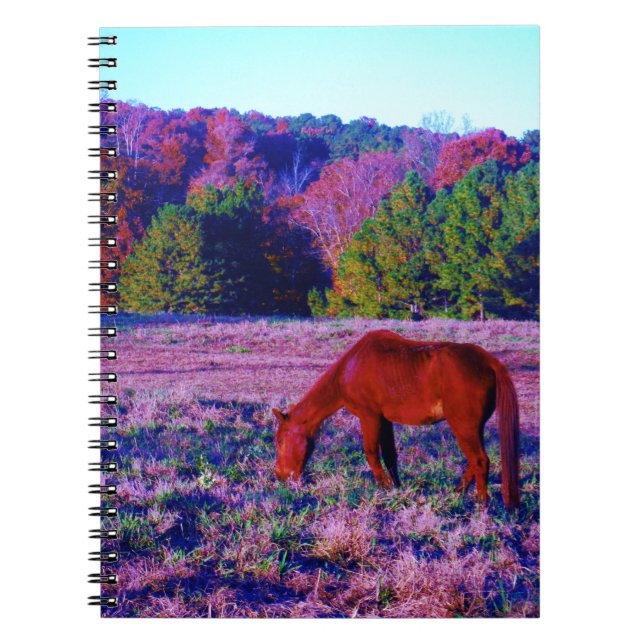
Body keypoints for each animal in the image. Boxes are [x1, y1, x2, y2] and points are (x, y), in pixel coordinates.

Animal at [272, 330, 520, 509]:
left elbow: (371, 452)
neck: (350, 367)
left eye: (280, 441)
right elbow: (390, 455)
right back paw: (458, 492)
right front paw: (396, 486)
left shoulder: (369, 416)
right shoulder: (385, 420)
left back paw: (481, 503)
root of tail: (488, 361)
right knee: (474, 461)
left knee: (480, 460)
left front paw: (382, 486)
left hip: (463, 425)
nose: (281, 475)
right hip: (473, 427)